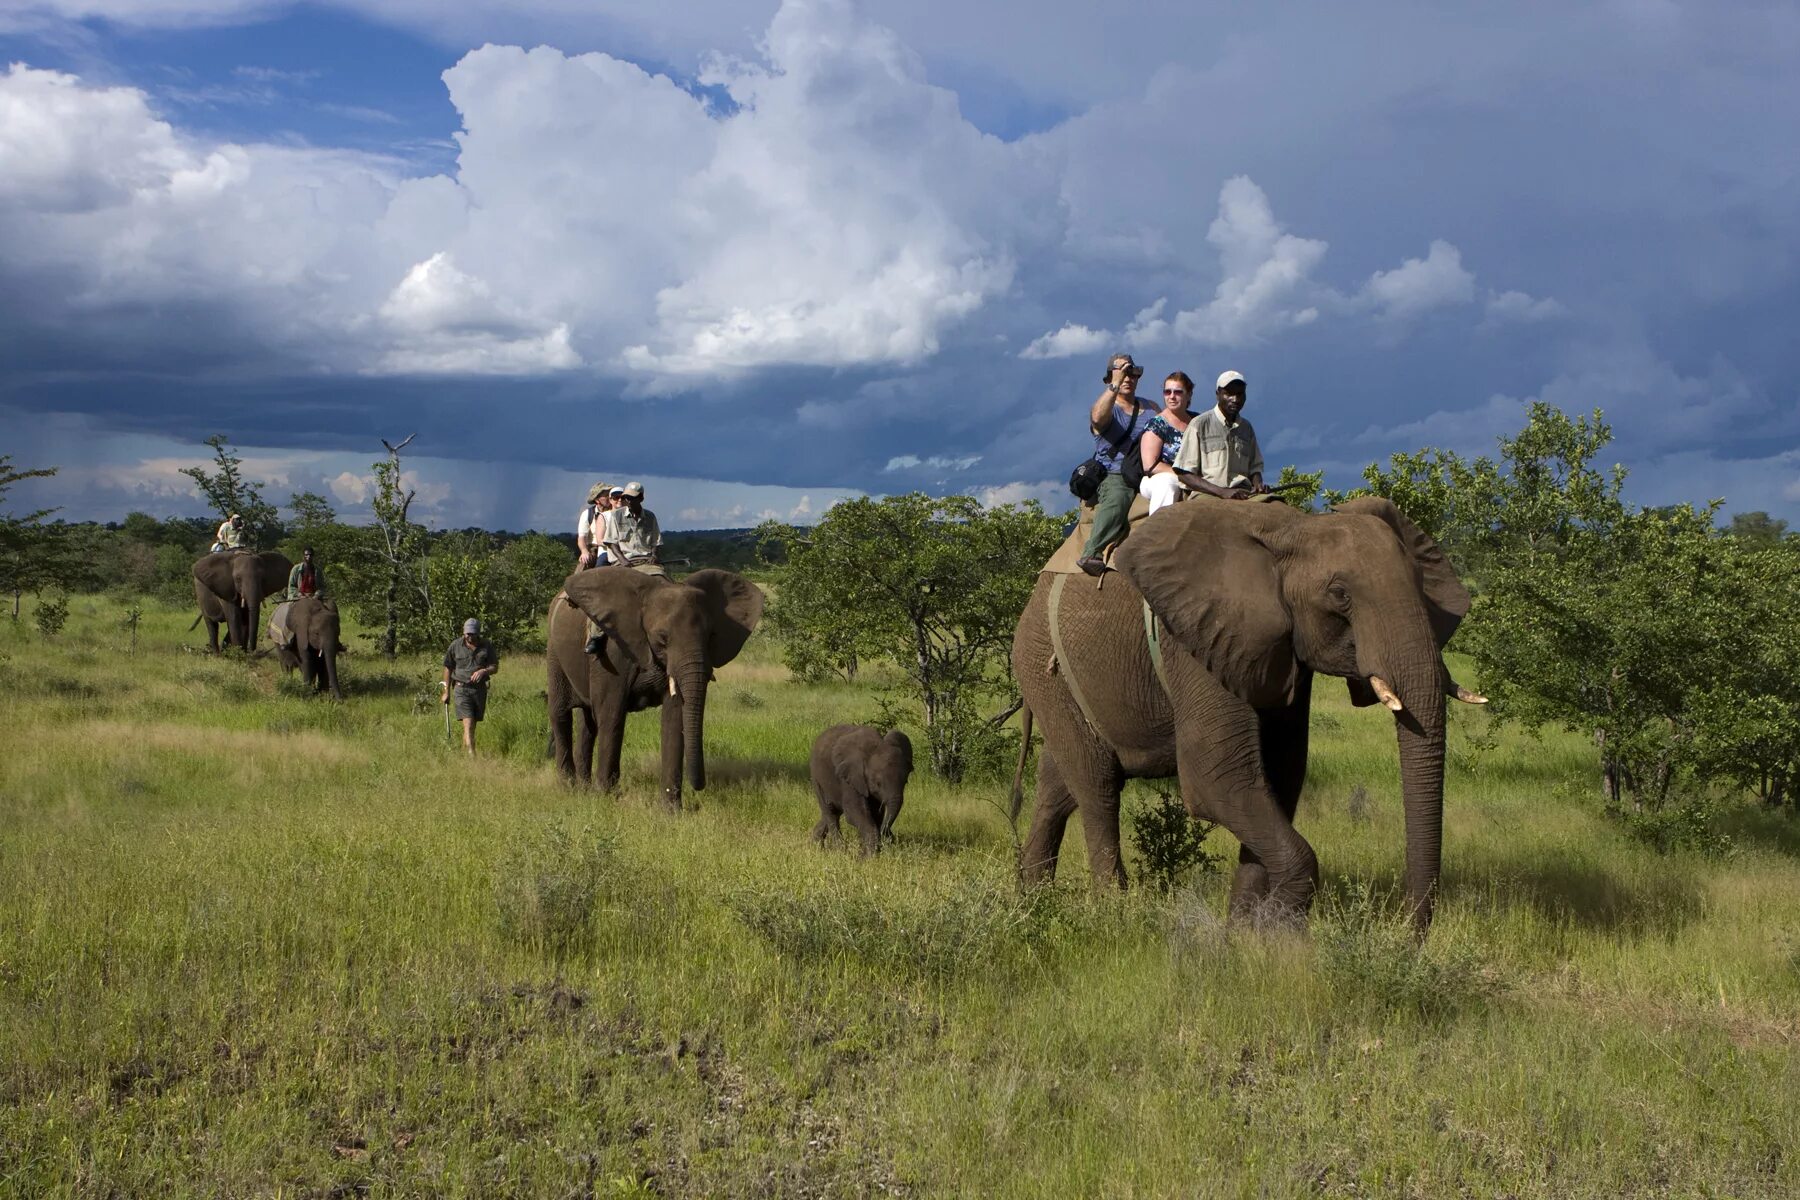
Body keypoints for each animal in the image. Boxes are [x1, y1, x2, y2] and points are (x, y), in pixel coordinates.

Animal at [550, 564, 770, 805]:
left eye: (711, 636)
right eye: (662, 638)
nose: (699, 787)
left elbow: (674, 719)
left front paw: (671, 809)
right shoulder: (613, 653)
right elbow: (611, 714)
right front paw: (606, 799)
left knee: (587, 721)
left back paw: (584, 787)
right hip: (555, 651)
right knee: (561, 713)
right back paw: (568, 786)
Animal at [810, 723, 914, 852]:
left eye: (905, 782)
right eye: (878, 783)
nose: (888, 835)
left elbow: (876, 813)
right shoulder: (849, 778)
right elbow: (854, 812)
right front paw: (868, 855)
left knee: (834, 811)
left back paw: (814, 845)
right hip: (817, 778)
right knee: (831, 812)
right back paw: (839, 850)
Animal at [1015, 492, 1476, 935]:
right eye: (1340, 595)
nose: (1407, 936)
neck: (1294, 529)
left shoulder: (1278, 650)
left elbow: (1280, 773)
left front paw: (1243, 933)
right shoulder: (1195, 638)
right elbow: (1217, 777)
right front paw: (1275, 929)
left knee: (1058, 785)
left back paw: (1034, 902)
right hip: (1043, 664)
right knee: (1098, 788)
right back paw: (1113, 911)